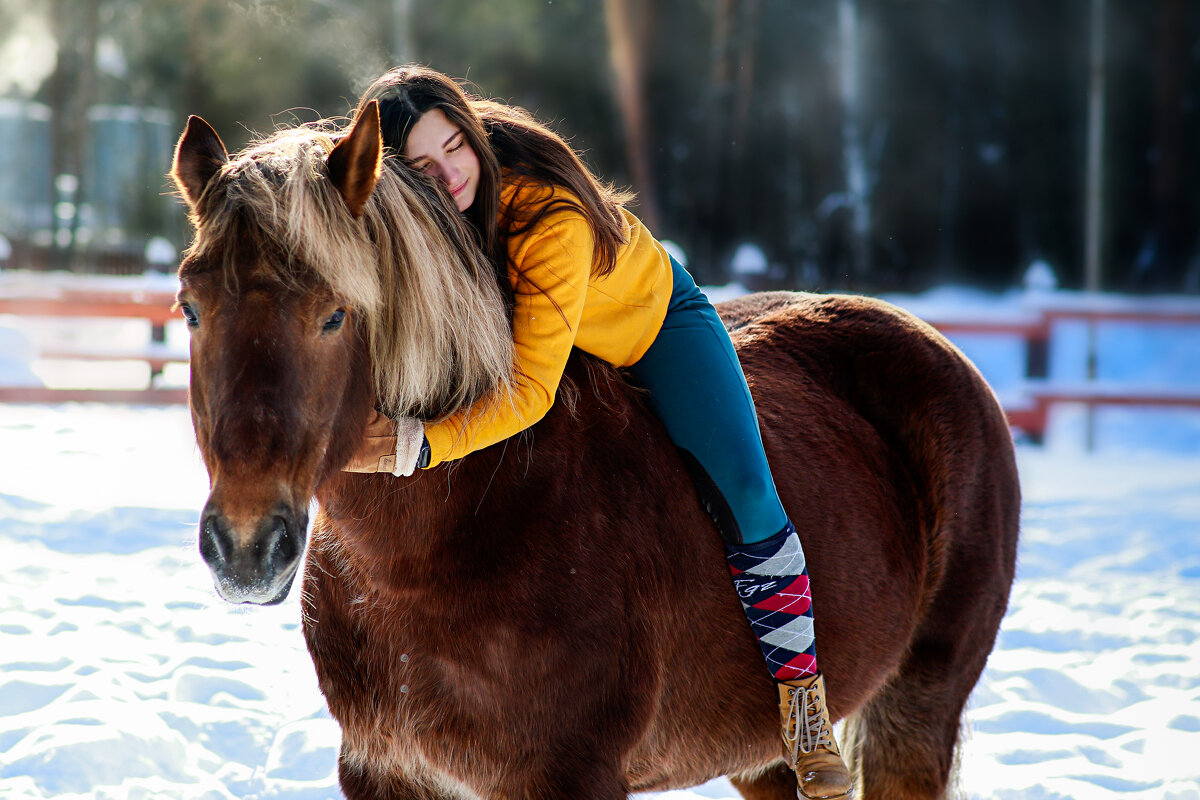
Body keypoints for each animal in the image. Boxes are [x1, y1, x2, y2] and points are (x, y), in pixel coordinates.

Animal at [171, 103, 1022, 796]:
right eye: (190, 307)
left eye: (334, 315)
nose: (246, 546)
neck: (442, 538)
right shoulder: (385, 770)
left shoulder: (570, 776)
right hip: (760, 753)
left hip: (917, 708)